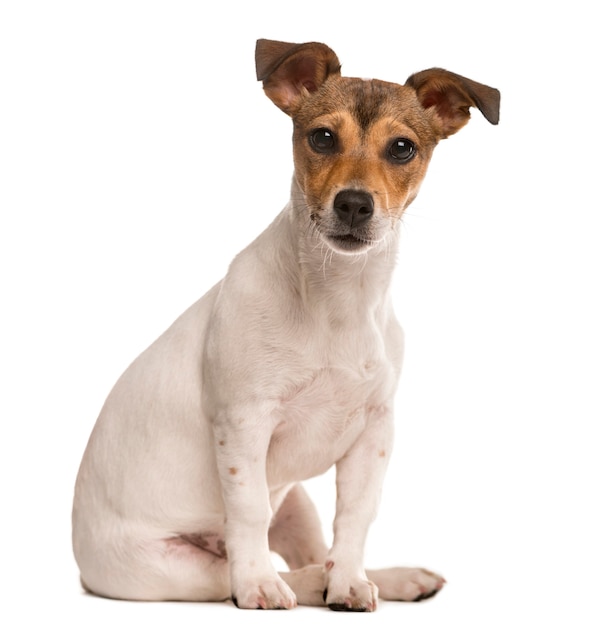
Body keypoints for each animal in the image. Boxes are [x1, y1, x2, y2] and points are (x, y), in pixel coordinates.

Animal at [72, 39, 498, 608]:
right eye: (322, 137)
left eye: (402, 148)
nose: (354, 203)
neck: (338, 299)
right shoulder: (244, 423)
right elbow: (249, 511)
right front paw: (258, 584)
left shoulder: (374, 431)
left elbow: (355, 517)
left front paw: (351, 582)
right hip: (168, 569)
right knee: (232, 568)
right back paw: (285, 582)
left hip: (297, 505)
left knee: (319, 550)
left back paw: (376, 578)